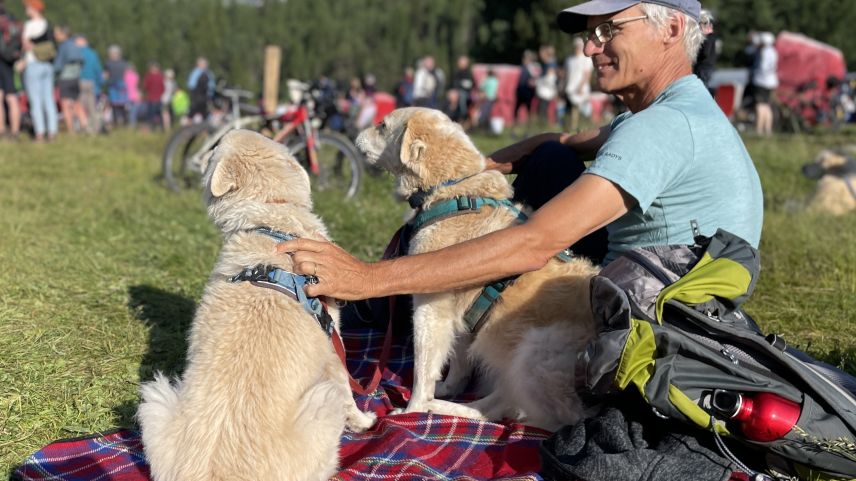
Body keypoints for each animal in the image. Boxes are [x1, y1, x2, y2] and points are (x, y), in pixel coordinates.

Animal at [136, 128, 374, 480]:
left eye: (215, 148)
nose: (203, 153)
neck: (272, 223)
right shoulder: (333, 347)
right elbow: (349, 394)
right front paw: (365, 422)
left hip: (156, 399)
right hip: (322, 401)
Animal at [354, 107, 600, 430]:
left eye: (382, 126)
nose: (355, 135)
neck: (451, 191)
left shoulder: (430, 309)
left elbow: (423, 369)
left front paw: (412, 410)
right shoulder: (458, 314)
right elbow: (457, 362)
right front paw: (446, 389)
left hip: (534, 351)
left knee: (537, 418)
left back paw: (436, 408)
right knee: (501, 404)